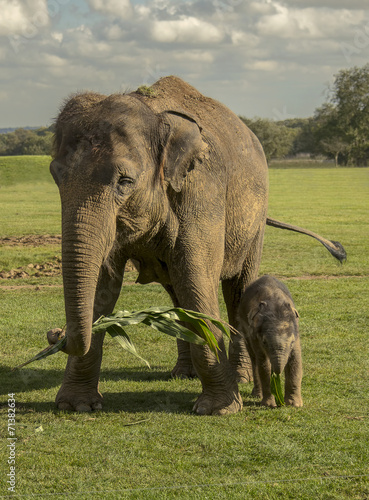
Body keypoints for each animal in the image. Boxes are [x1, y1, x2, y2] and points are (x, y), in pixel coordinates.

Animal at [237, 276, 304, 408]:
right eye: (264, 342)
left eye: (292, 342)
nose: (276, 374)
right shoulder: (255, 335)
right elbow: (264, 365)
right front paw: (269, 404)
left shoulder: (296, 332)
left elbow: (295, 360)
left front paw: (294, 404)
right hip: (244, 329)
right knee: (254, 359)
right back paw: (257, 395)